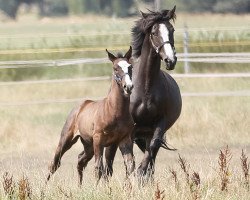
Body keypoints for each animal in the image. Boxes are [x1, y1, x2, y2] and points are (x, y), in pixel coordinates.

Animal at [47, 47, 136, 184]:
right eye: (115, 68)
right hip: (67, 139)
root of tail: (80, 106)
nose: (128, 87)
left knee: (80, 160)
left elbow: (130, 165)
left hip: (88, 145)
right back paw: (45, 185)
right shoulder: (99, 140)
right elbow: (98, 168)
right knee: (55, 162)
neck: (114, 111)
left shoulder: (124, 139)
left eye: (130, 67)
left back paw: (79, 186)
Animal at [105, 7, 182, 180]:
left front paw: (141, 173)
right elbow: (128, 157)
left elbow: (151, 150)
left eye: (172, 30)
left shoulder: (160, 124)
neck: (145, 87)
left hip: (146, 134)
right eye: (154, 32)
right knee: (109, 158)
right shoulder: (130, 129)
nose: (170, 60)